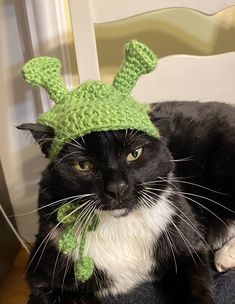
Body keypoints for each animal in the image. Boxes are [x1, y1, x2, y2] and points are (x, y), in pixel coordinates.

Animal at [18, 101, 235, 304]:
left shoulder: (186, 242)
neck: (119, 225)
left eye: (134, 153)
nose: (117, 188)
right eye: (82, 165)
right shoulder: (42, 275)